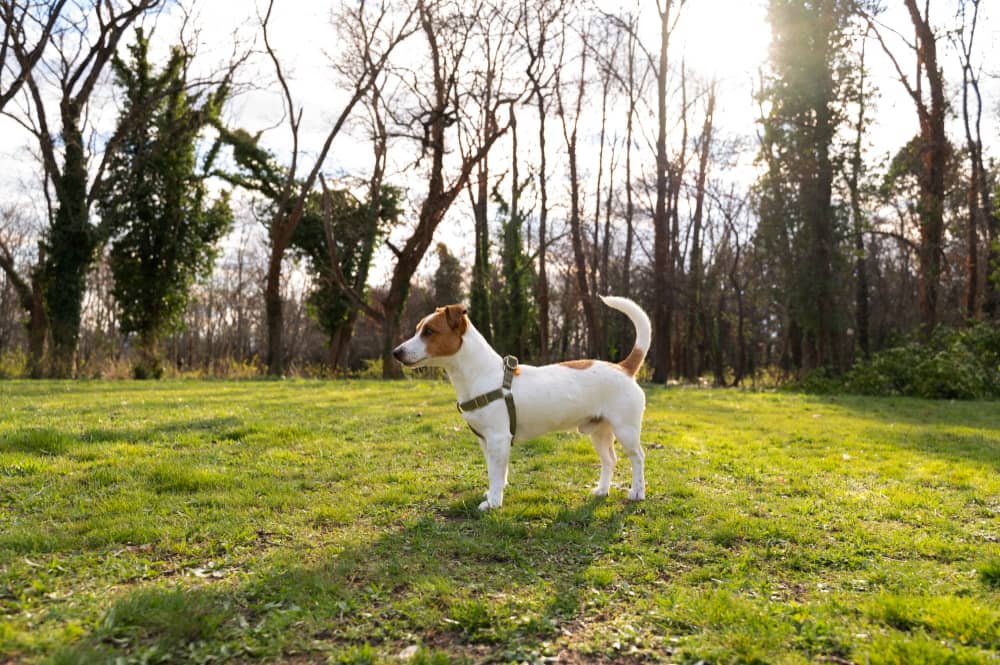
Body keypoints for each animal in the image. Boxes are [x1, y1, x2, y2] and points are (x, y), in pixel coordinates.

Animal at [390, 294, 648, 508]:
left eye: (429, 331)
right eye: (418, 329)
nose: (395, 352)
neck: (480, 374)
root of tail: (623, 367)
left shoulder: (498, 438)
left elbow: (496, 474)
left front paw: (493, 503)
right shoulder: (486, 441)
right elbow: (494, 472)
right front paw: (493, 494)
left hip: (625, 430)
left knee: (638, 457)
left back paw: (637, 492)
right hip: (598, 431)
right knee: (609, 460)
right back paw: (602, 490)